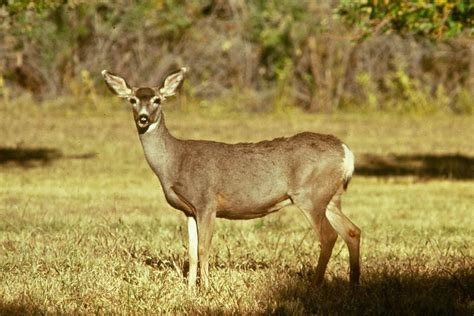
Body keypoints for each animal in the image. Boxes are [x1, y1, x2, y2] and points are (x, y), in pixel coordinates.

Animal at [100, 68, 360, 288]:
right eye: (133, 100)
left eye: (157, 100)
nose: (143, 118)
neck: (175, 162)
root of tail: (346, 152)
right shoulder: (189, 210)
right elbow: (191, 253)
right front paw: (189, 289)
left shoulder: (206, 202)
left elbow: (203, 249)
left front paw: (205, 288)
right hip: (330, 197)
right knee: (352, 231)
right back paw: (354, 284)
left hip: (310, 195)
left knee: (329, 235)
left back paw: (315, 284)